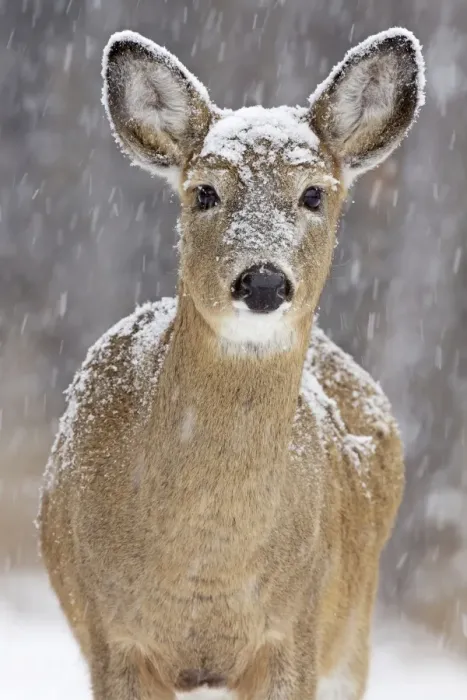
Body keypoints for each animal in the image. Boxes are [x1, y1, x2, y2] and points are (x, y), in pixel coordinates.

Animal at [39, 27, 425, 700]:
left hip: (354, 632)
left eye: (314, 193)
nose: (263, 281)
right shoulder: (112, 635)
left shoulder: (294, 631)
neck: (206, 565)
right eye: (205, 191)